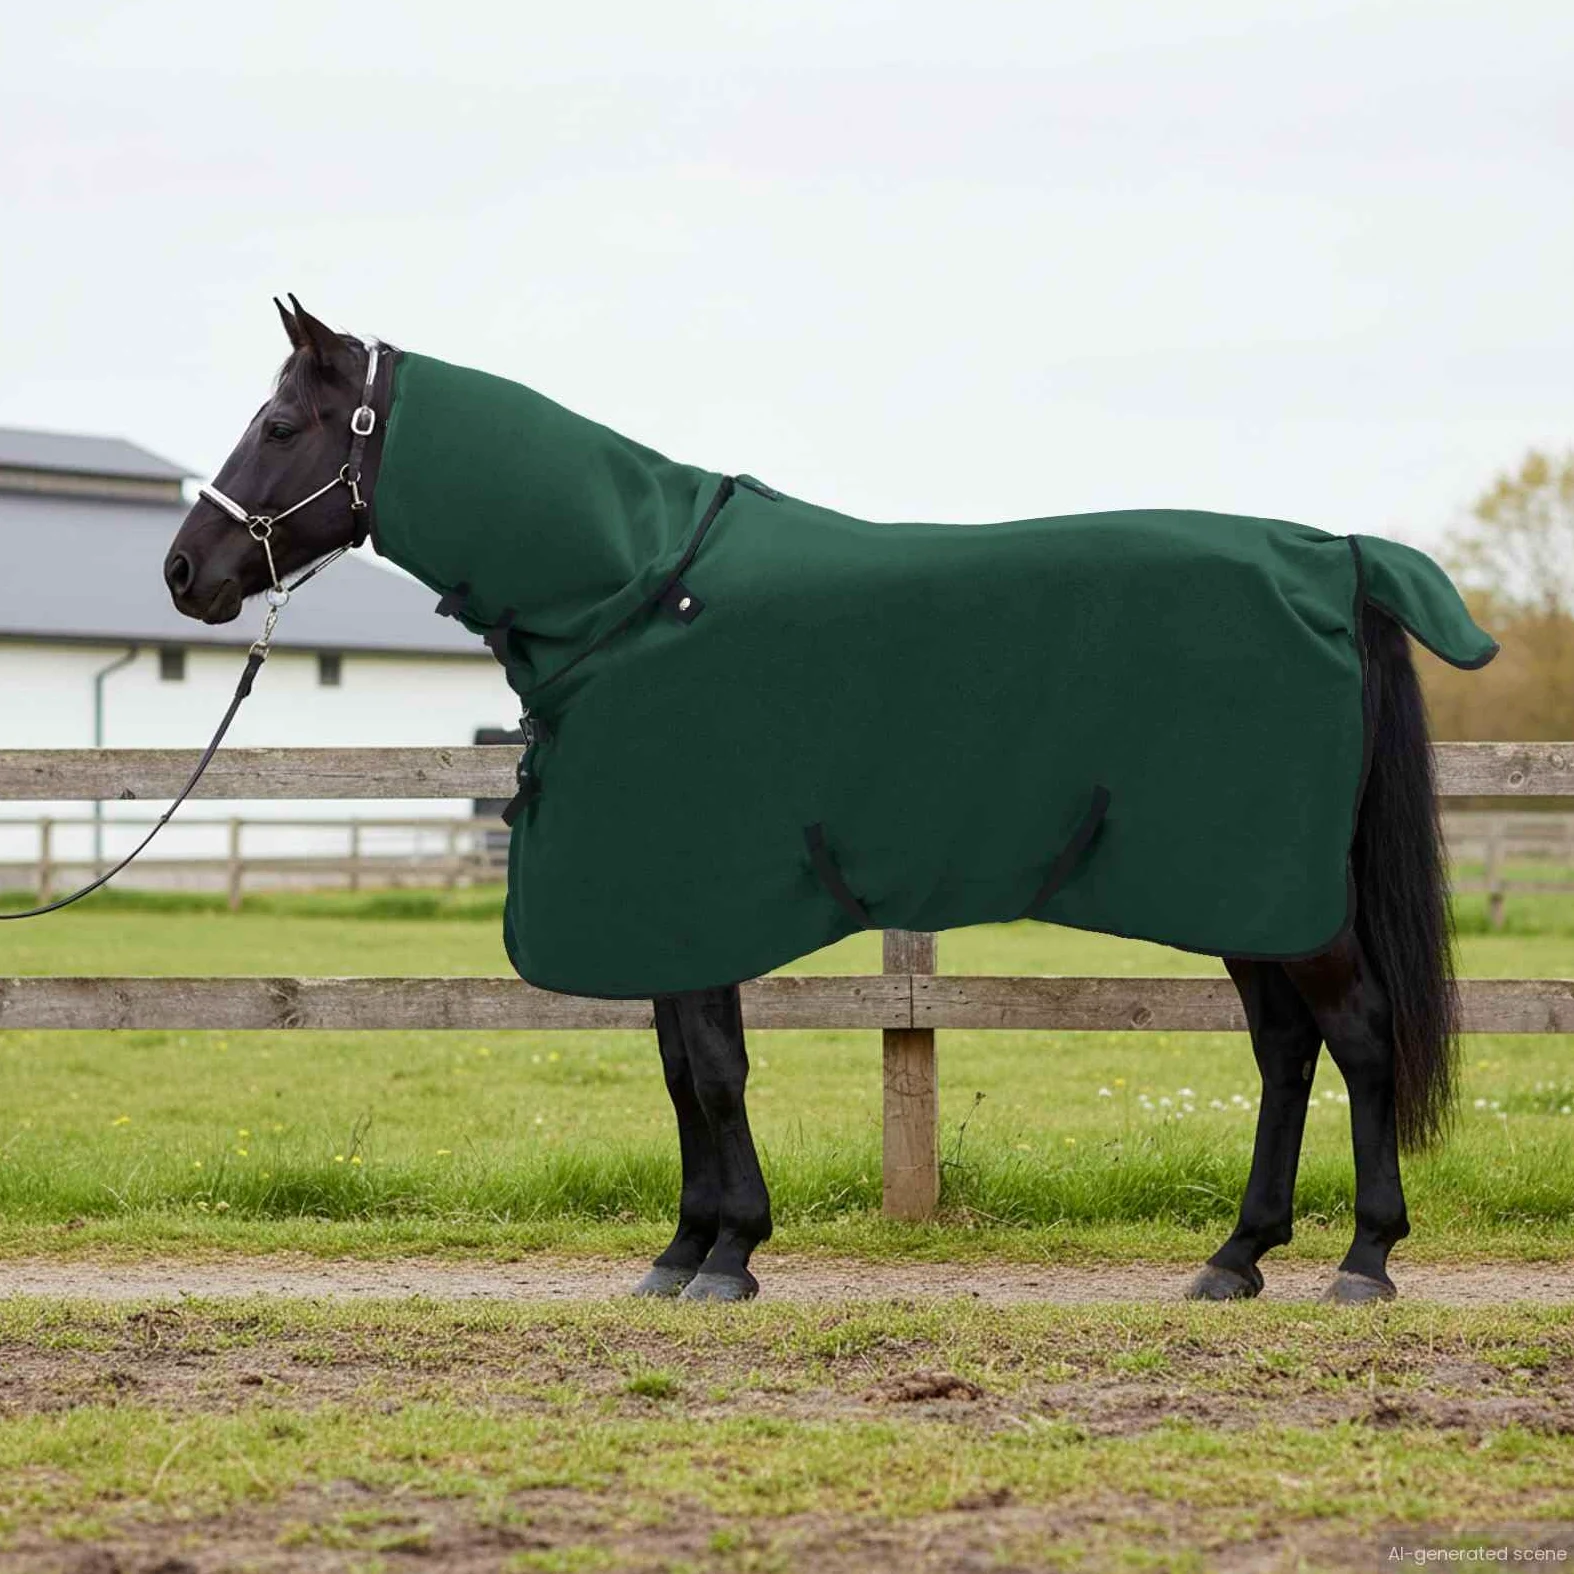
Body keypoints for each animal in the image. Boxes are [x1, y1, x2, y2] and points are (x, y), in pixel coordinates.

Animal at [164, 296, 1471, 1305]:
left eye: (279, 424)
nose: (186, 571)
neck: (636, 592)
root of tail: (1333, 557)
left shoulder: (695, 893)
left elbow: (713, 1070)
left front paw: (728, 1252)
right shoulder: (665, 907)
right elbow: (682, 1068)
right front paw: (683, 1247)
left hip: (1282, 896)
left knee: (1356, 1037)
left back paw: (1362, 1259)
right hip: (1247, 896)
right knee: (1285, 1050)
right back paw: (1235, 1255)